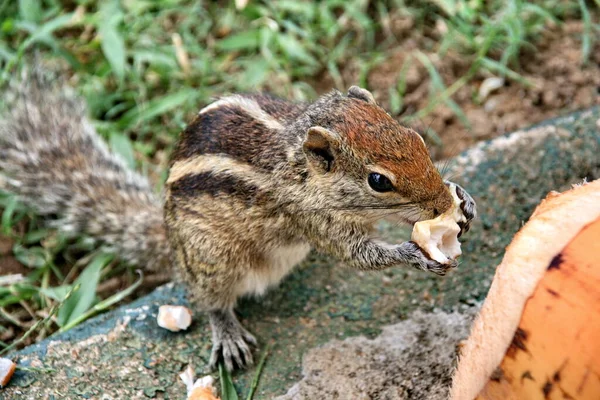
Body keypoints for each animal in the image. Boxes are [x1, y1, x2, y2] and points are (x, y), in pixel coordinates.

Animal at [1, 71, 478, 372]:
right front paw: (414, 253)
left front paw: (463, 198)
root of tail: (170, 241)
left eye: (416, 138)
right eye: (378, 181)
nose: (439, 201)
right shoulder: (312, 219)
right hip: (210, 255)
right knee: (209, 298)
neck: (296, 164)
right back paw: (226, 332)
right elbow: (359, 255)